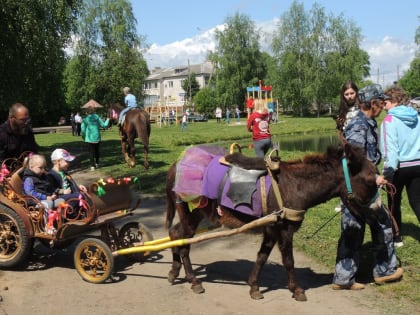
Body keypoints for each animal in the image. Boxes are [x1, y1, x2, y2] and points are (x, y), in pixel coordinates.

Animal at [166, 143, 378, 302]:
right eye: (370, 179)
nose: (377, 210)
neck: (296, 185)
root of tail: (176, 164)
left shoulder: (271, 230)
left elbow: (262, 257)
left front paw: (254, 287)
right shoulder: (285, 230)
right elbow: (289, 261)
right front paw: (297, 290)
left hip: (195, 214)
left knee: (175, 234)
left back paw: (174, 272)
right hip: (190, 213)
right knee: (184, 243)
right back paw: (193, 280)